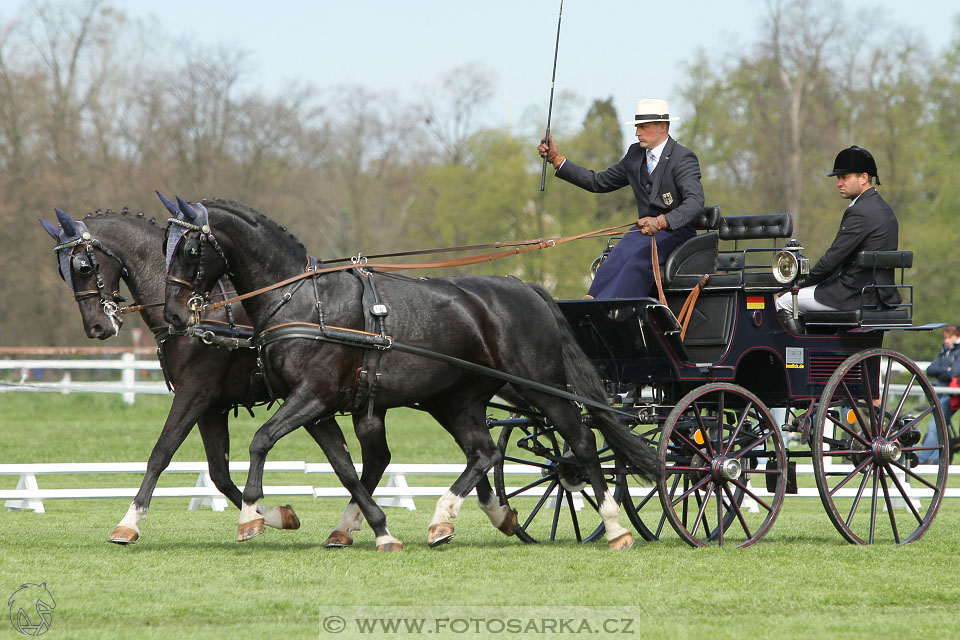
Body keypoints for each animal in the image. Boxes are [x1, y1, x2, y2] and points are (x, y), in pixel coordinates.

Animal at [39, 208, 304, 544]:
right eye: (63, 273)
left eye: (84, 266)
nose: (96, 328)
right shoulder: (211, 406)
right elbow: (219, 474)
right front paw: (269, 515)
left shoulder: (194, 393)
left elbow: (161, 453)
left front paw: (129, 522)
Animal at [165, 196, 660, 552]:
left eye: (189, 249)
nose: (173, 315)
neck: (302, 299)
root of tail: (525, 287)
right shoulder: (319, 406)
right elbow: (345, 467)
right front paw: (375, 529)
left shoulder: (314, 395)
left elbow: (262, 440)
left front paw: (251, 516)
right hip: (458, 398)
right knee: (484, 452)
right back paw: (453, 519)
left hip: (543, 388)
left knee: (581, 441)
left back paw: (615, 527)